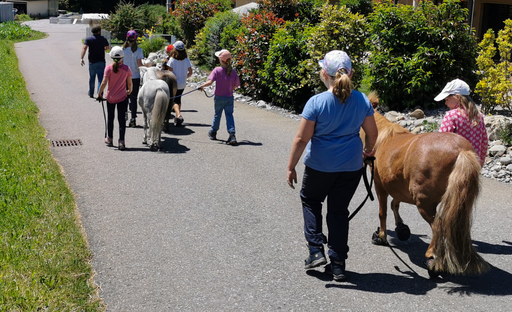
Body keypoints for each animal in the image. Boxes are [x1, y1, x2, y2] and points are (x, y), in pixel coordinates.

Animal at [366, 92, 490, 276]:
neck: (384, 139)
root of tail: (461, 151)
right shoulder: (398, 186)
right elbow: (395, 204)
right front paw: (401, 227)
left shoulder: (380, 186)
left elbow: (383, 212)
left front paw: (381, 236)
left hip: (424, 203)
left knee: (438, 226)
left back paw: (432, 257)